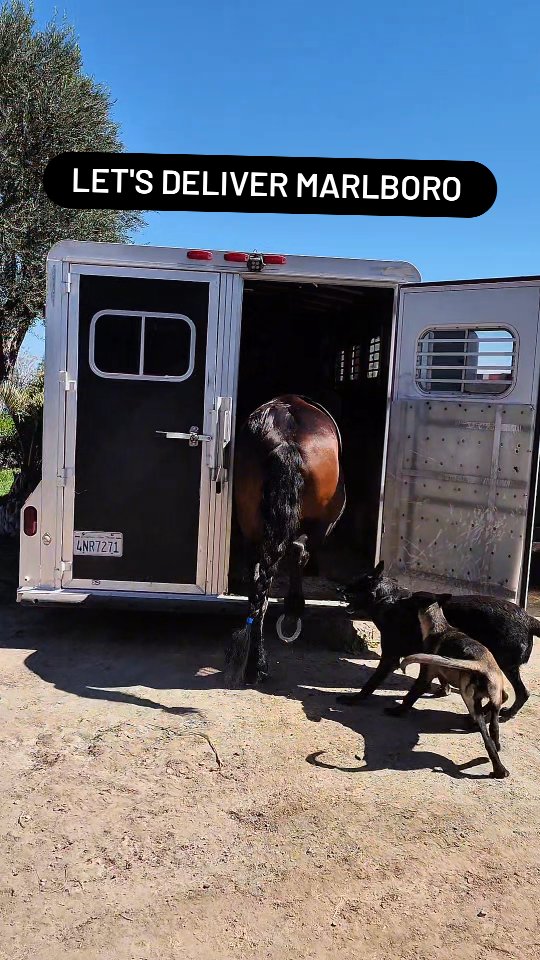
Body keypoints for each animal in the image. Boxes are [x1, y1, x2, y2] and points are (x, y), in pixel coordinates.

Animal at [224, 394, 346, 688]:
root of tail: (285, 442)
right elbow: (299, 553)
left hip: (250, 524)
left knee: (258, 581)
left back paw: (255, 664)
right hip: (318, 522)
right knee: (296, 552)